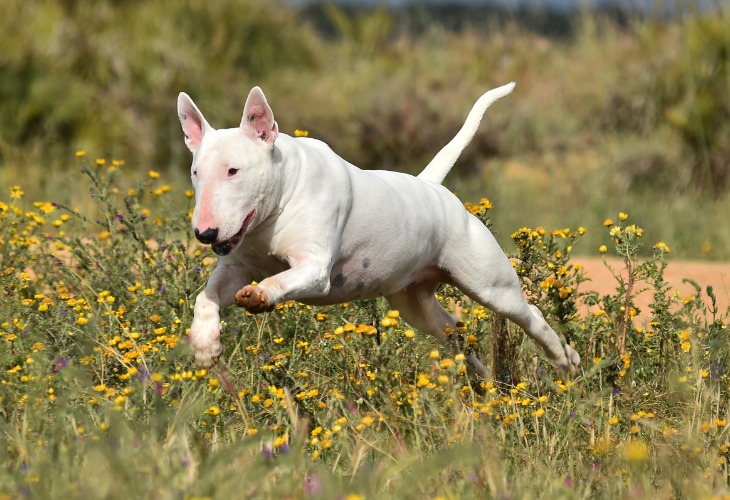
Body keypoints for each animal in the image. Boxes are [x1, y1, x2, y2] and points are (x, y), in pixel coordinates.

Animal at [176, 83, 580, 378]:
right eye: (195, 172)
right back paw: (482, 382)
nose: (205, 234)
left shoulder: (315, 269)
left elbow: (280, 279)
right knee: (453, 331)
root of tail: (431, 186)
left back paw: (565, 359)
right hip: (413, 302)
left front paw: (259, 295)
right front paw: (204, 345)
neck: (275, 206)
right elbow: (206, 297)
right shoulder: (236, 266)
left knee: (529, 314)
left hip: (490, 284)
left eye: (234, 170)